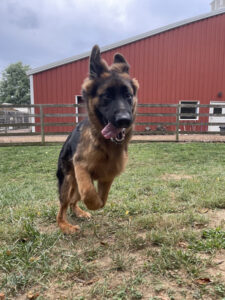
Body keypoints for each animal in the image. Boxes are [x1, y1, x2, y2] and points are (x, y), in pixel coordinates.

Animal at [56, 44, 138, 233]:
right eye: (106, 96)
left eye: (128, 96)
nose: (124, 120)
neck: (105, 144)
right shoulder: (80, 167)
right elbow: (89, 193)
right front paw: (92, 203)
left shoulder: (108, 175)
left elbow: (103, 199)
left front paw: (97, 203)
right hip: (68, 180)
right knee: (63, 206)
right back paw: (64, 225)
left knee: (73, 201)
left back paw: (79, 212)